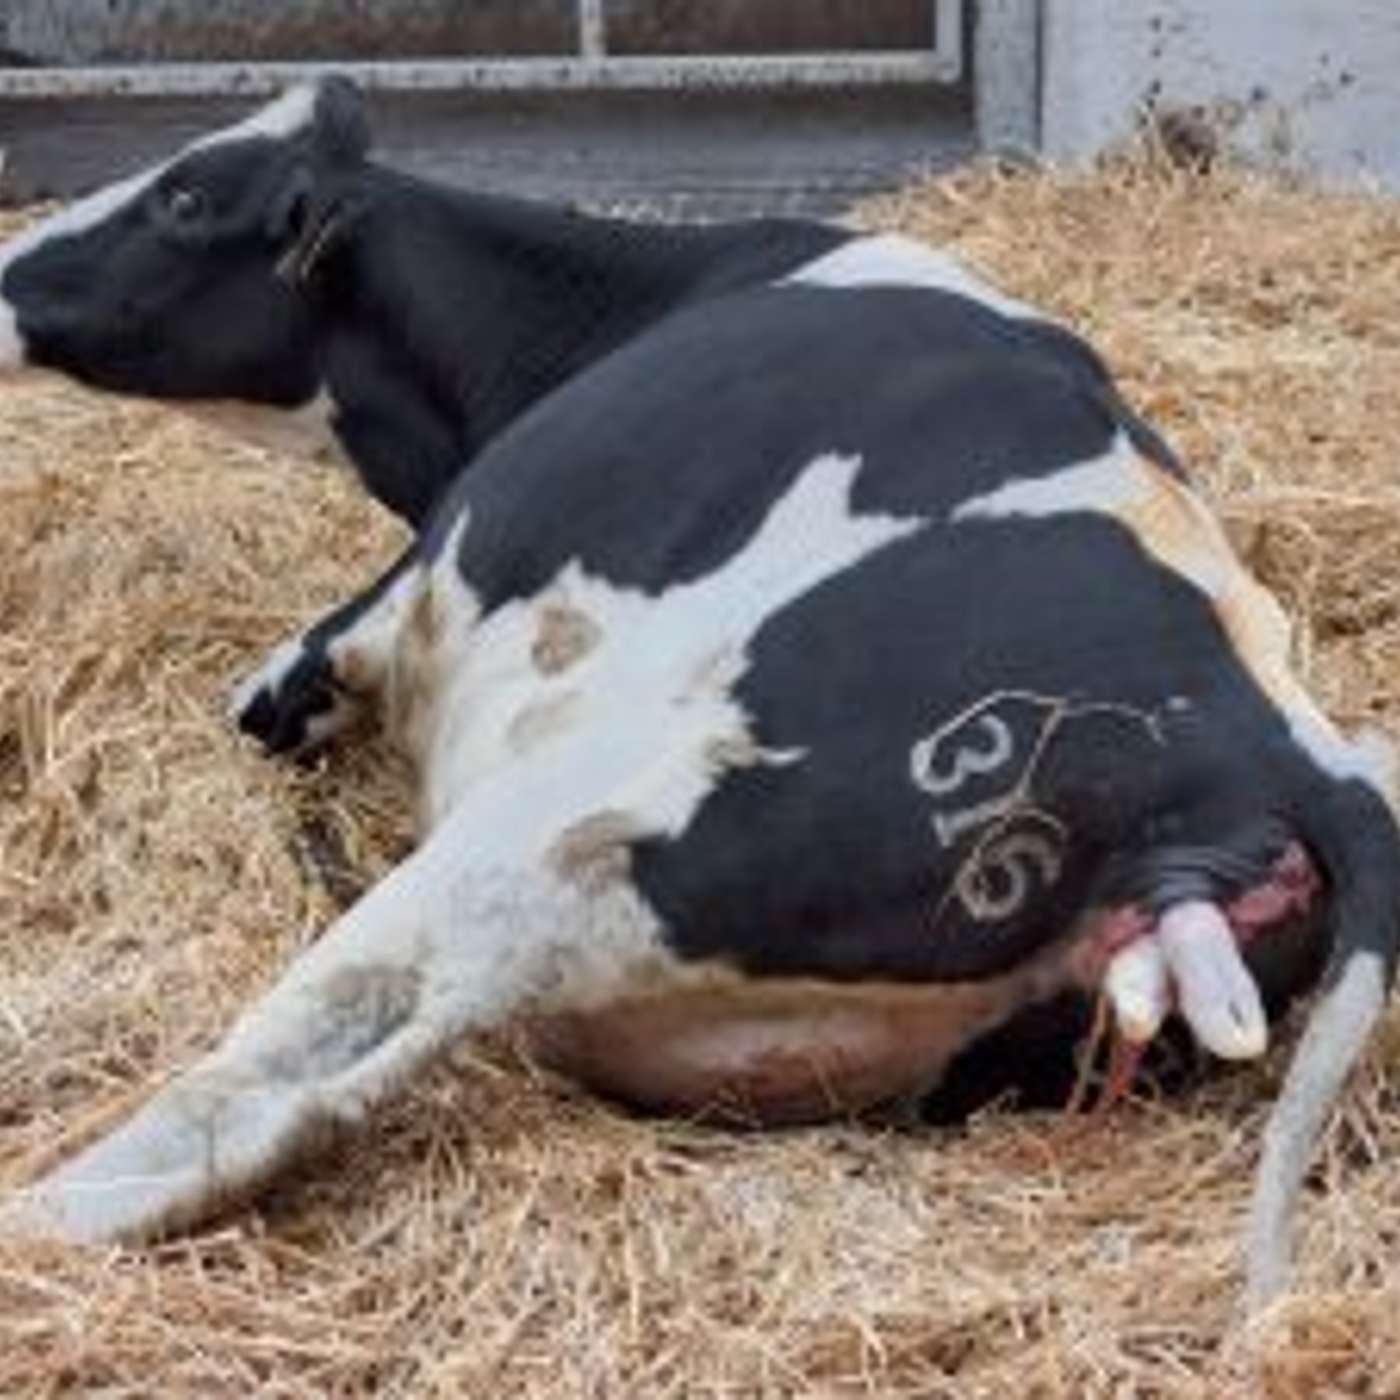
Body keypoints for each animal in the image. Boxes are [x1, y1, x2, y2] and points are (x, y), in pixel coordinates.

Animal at [0, 78, 1393, 1312]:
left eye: (186, 196)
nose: (9, 268)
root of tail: (1283, 748)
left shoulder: (383, 614)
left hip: (551, 845)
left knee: (294, 1068)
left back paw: (47, 1215)